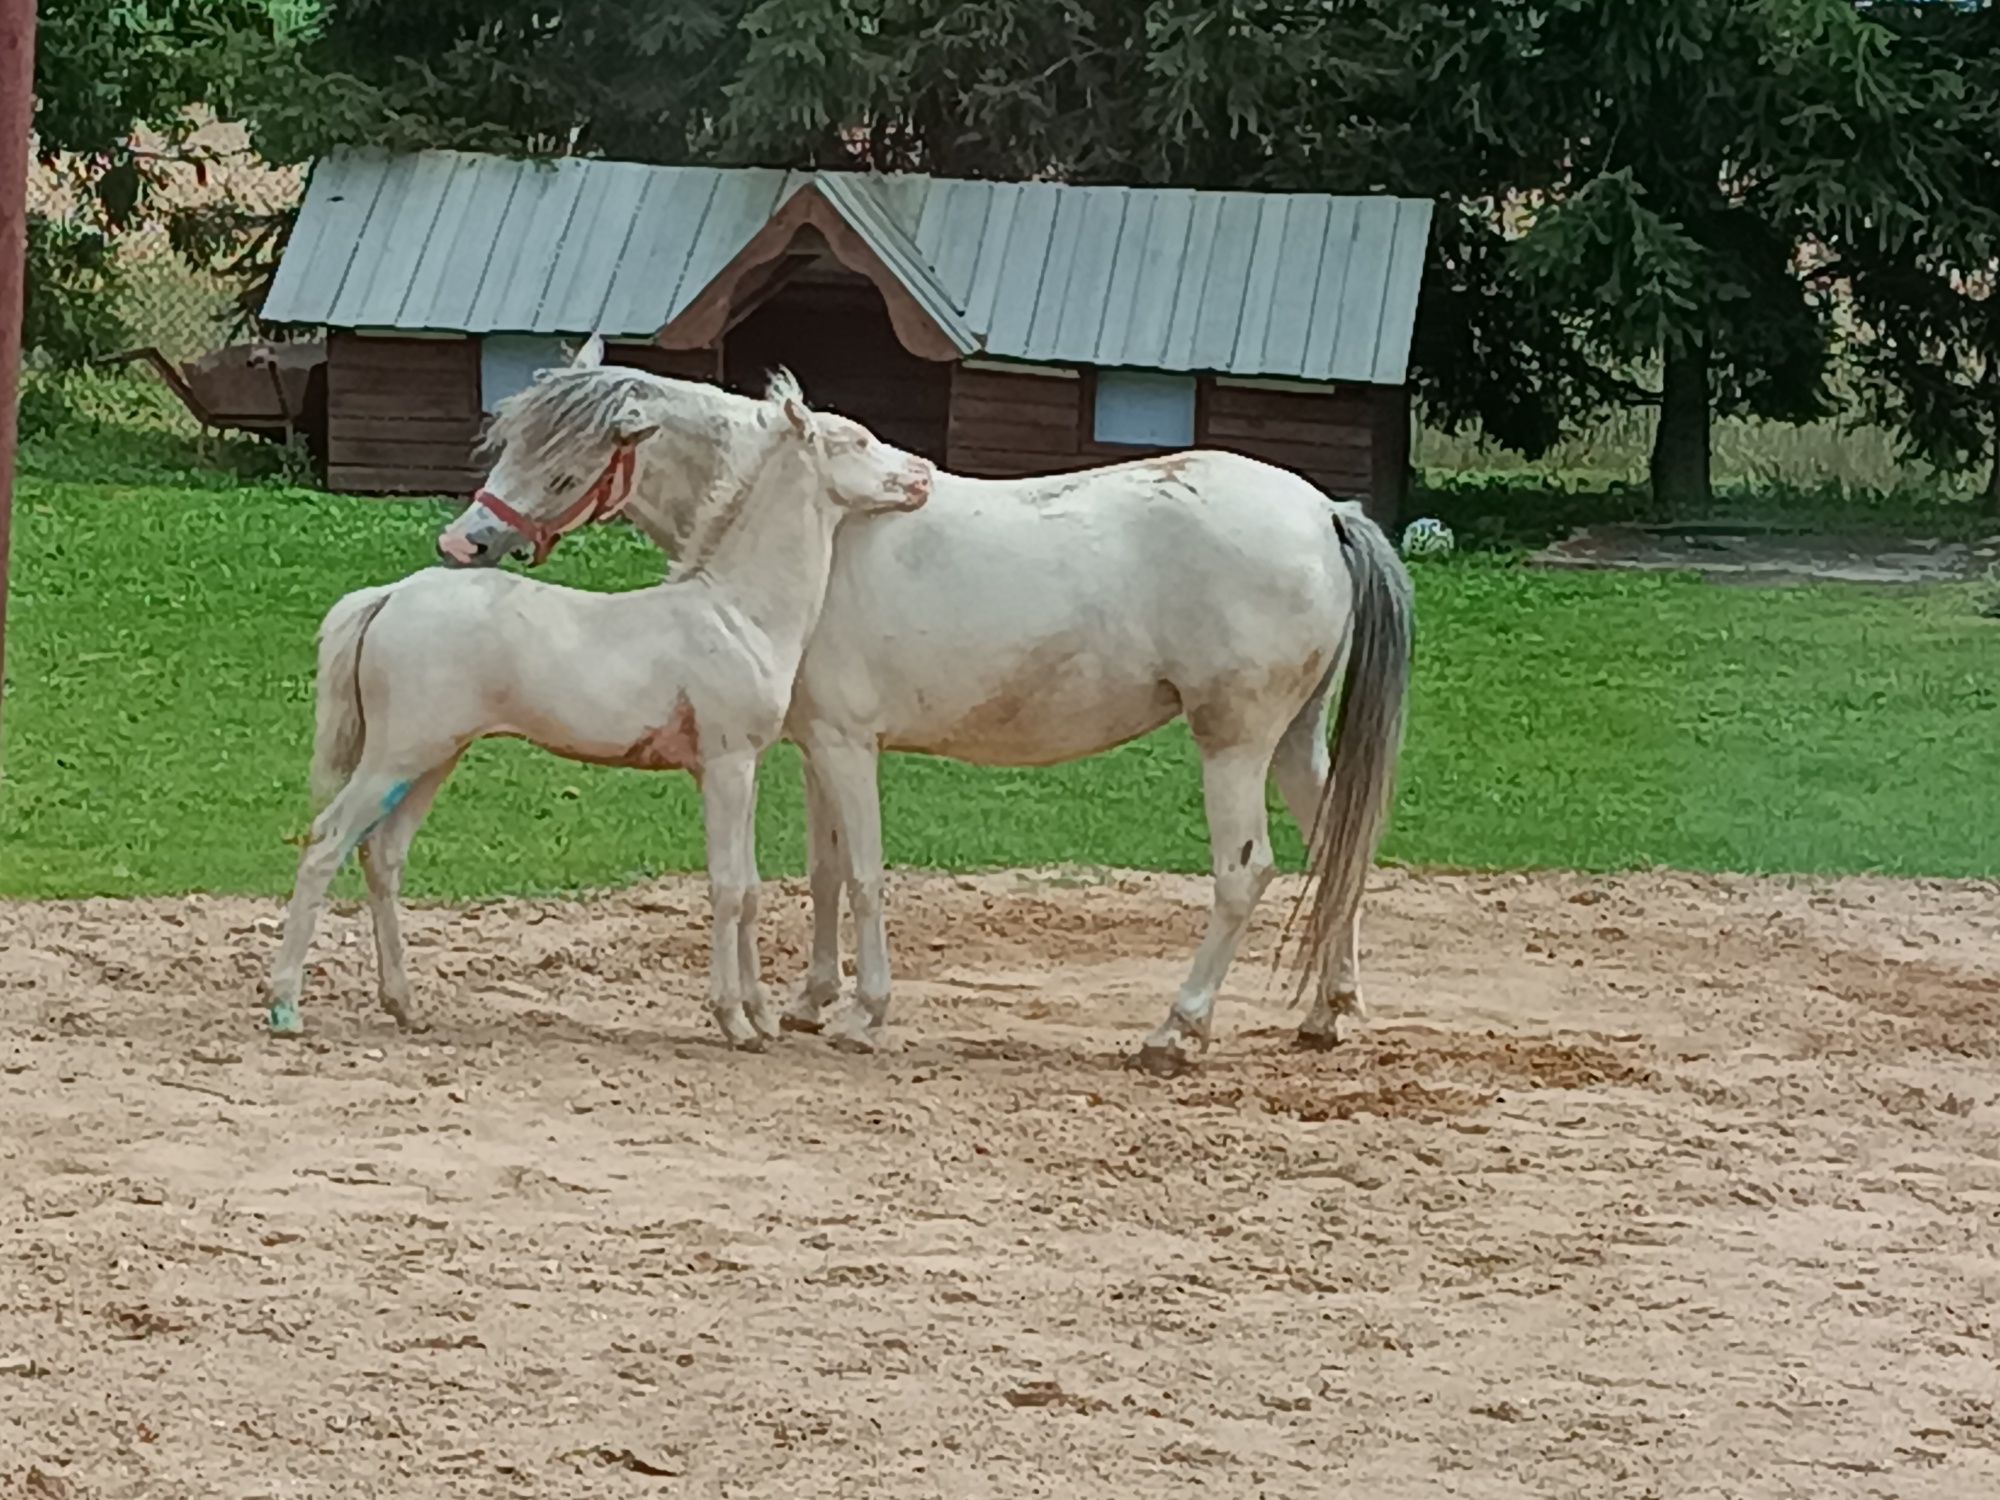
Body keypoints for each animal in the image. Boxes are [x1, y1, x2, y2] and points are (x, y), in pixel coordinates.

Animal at [264, 370, 936, 1040]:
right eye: (856, 440)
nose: (923, 476)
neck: (736, 610)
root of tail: (388, 596)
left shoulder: (739, 765)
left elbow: (747, 888)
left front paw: (761, 1018)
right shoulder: (726, 763)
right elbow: (726, 888)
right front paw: (733, 1021)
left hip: (432, 757)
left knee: (382, 854)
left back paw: (403, 1004)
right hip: (396, 756)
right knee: (326, 843)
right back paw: (285, 1006)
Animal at [442, 340, 1408, 1072]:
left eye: (565, 464)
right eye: (509, 441)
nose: (465, 542)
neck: (813, 546)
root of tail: (1324, 513)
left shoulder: (846, 744)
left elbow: (866, 876)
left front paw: (864, 1015)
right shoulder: (814, 748)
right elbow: (825, 873)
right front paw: (808, 1002)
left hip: (1234, 745)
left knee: (1246, 873)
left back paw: (1177, 1030)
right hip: (1293, 741)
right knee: (1342, 846)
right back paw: (1327, 1012)